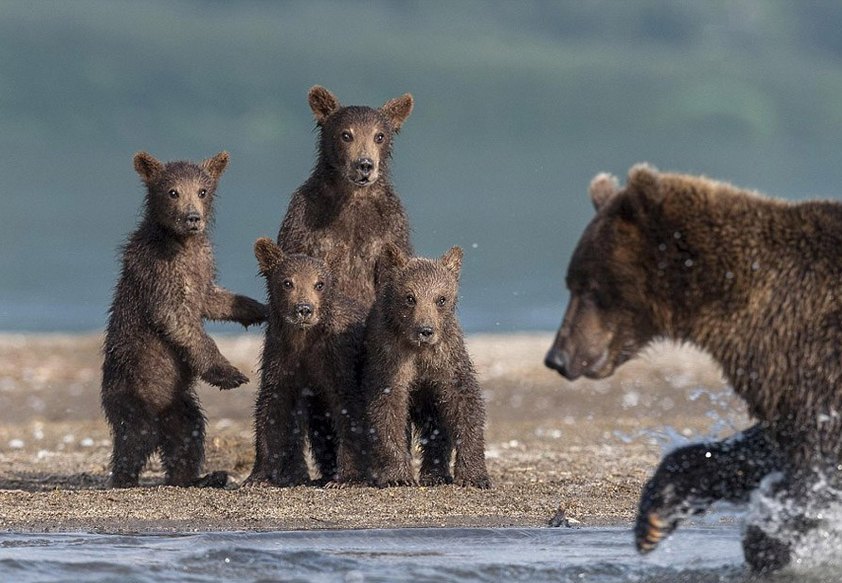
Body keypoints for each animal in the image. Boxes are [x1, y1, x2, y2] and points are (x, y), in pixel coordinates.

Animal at [102, 152, 266, 488]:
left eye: (202, 191)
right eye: (172, 192)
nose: (192, 218)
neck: (181, 243)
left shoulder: (202, 265)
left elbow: (213, 299)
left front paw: (258, 308)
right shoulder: (160, 272)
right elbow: (178, 320)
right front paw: (229, 373)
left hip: (178, 401)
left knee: (187, 433)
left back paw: (200, 476)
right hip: (132, 387)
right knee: (133, 437)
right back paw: (124, 477)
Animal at [243, 238, 368, 488]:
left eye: (319, 284)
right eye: (287, 282)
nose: (303, 309)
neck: (304, 339)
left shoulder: (337, 358)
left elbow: (349, 407)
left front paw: (346, 478)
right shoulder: (280, 358)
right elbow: (271, 409)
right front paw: (257, 477)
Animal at [278, 84, 416, 310]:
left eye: (379, 136)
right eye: (346, 134)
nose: (365, 165)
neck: (352, 195)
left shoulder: (391, 226)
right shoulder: (304, 218)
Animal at [362, 244, 492, 490]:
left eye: (441, 299)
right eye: (410, 297)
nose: (426, 330)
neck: (418, 349)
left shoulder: (446, 357)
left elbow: (464, 402)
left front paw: (474, 476)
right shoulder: (391, 358)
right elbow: (388, 407)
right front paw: (397, 476)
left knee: (437, 426)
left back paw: (436, 475)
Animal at [540, 165, 840, 576]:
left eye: (588, 286)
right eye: (571, 282)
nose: (557, 357)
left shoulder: (812, 350)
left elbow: (817, 461)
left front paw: (767, 543)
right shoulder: (786, 378)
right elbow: (759, 447)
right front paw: (654, 517)